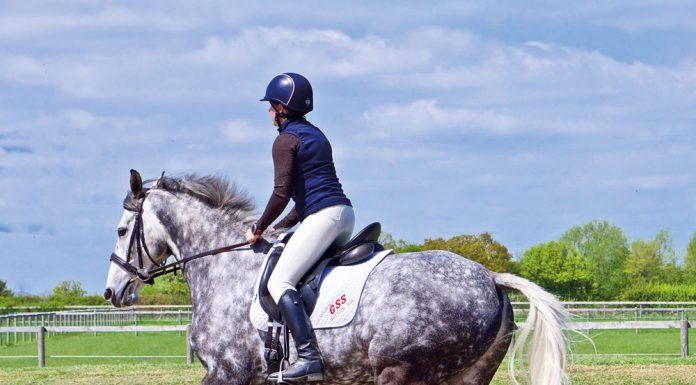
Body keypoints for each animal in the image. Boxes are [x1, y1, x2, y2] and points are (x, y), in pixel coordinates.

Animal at [104, 171, 572, 384]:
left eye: (122, 230)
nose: (113, 291)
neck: (224, 268)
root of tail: (490, 278)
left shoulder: (227, 373)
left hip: (400, 371)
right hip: (467, 375)